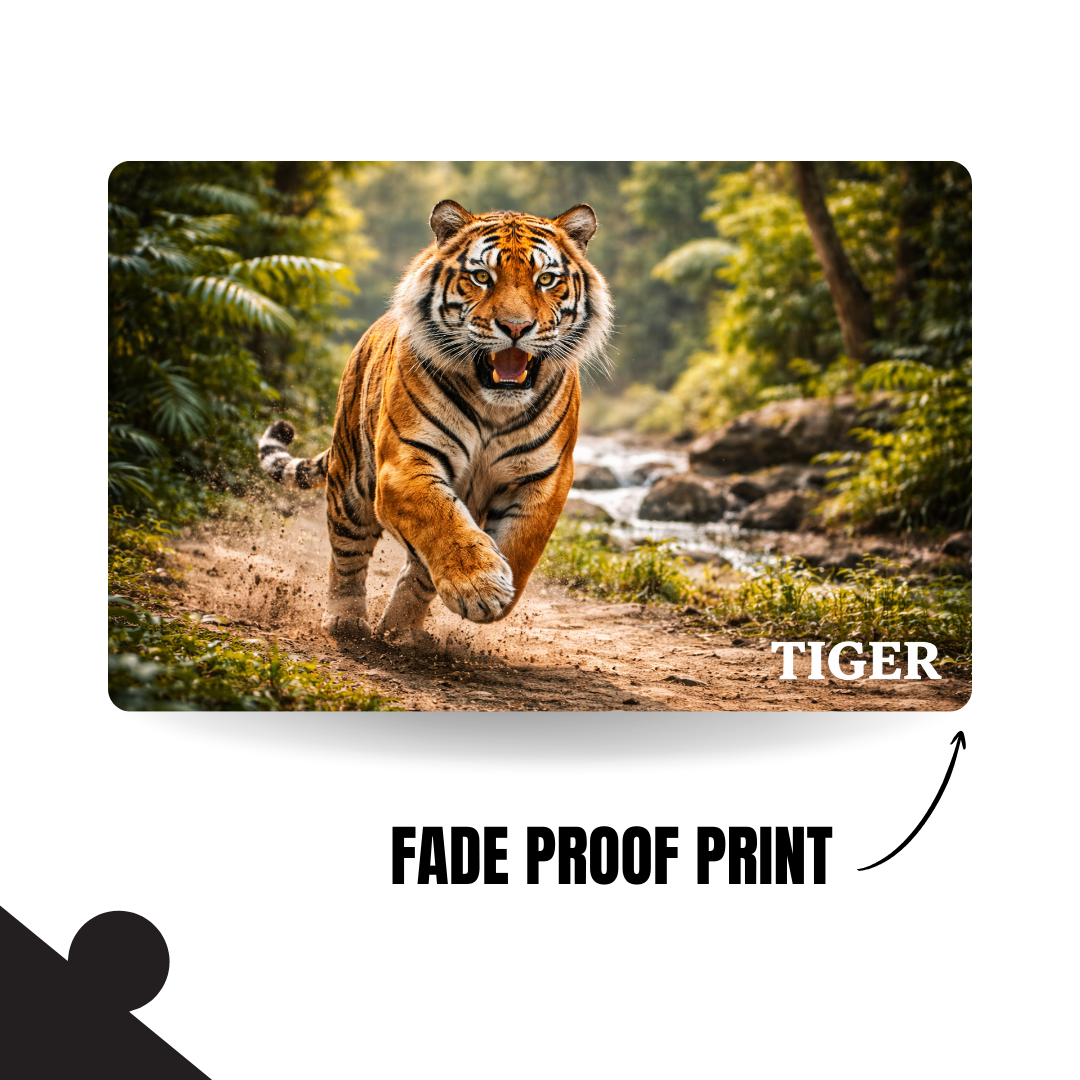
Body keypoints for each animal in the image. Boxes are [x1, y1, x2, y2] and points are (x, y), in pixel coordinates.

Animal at [257, 199, 613, 646]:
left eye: (546, 279)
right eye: (482, 277)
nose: (516, 327)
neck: (495, 406)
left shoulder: (546, 477)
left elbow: (520, 544)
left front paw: (495, 591)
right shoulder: (405, 461)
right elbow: (440, 520)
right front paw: (481, 585)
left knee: (417, 571)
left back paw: (402, 631)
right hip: (351, 484)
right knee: (347, 555)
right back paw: (346, 621)